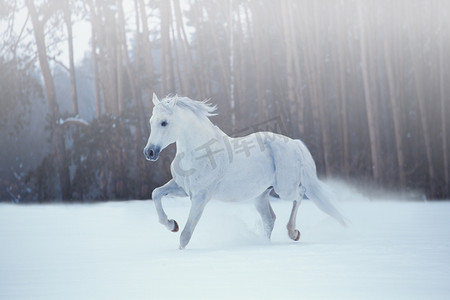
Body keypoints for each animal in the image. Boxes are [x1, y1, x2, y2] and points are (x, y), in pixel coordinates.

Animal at [144, 95, 348, 250]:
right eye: (151, 122)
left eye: (164, 123)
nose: (149, 152)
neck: (201, 152)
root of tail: (294, 143)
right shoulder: (182, 188)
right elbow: (156, 193)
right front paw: (172, 224)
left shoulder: (201, 196)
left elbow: (186, 234)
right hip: (261, 195)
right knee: (270, 218)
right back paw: (264, 243)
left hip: (285, 189)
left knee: (299, 196)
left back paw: (293, 232)